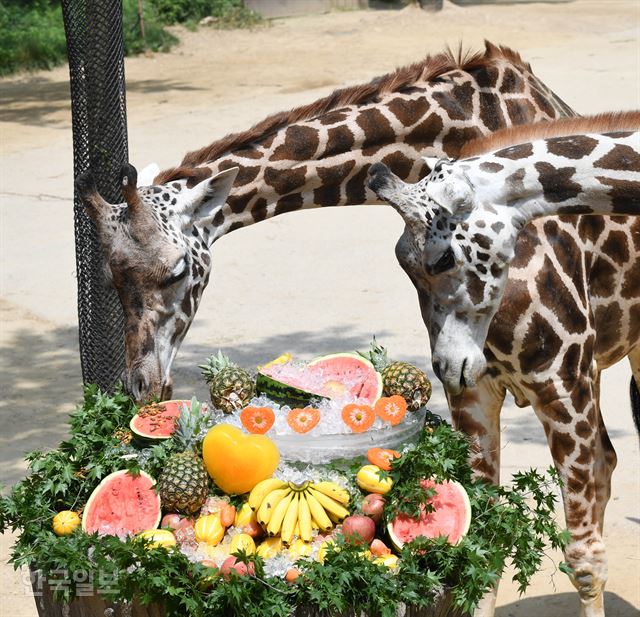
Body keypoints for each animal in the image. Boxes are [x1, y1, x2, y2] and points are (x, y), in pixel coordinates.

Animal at [364, 110, 640, 616]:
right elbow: (483, 544)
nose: (447, 365)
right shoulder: (475, 396)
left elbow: (585, 561)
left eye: (443, 257)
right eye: (401, 263)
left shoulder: (562, 388)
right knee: (606, 462)